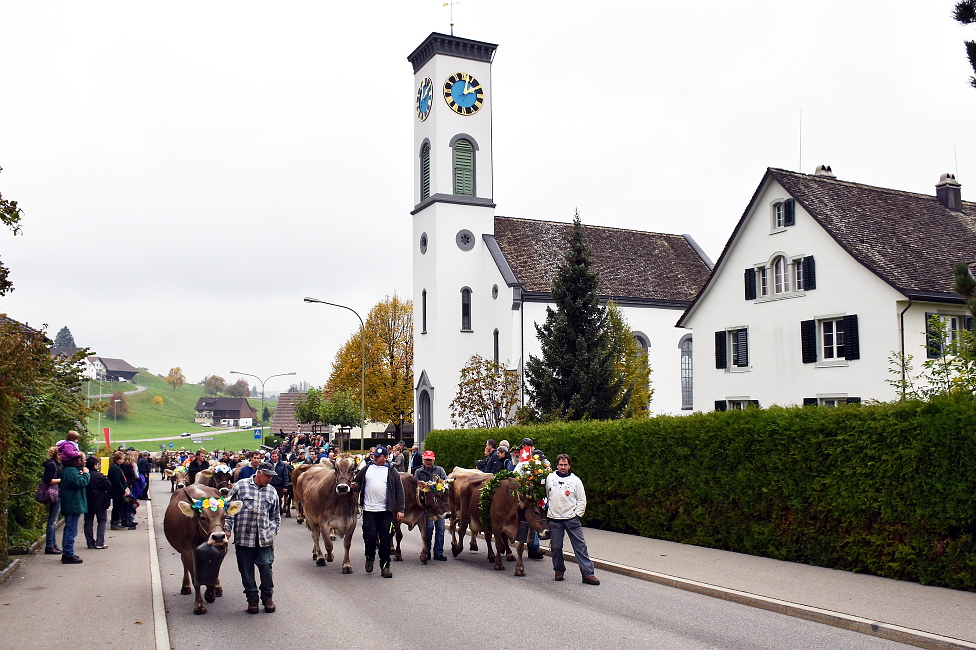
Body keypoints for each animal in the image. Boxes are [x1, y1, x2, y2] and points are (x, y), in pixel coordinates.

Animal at [162, 480, 242, 612]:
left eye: (224, 516)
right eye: (203, 517)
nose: (219, 536)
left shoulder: (222, 549)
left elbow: (214, 573)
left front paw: (210, 594)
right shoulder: (188, 552)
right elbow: (196, 580)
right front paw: (199, 605)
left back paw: (217, 588)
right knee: (184, 564)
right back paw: (186, 586)